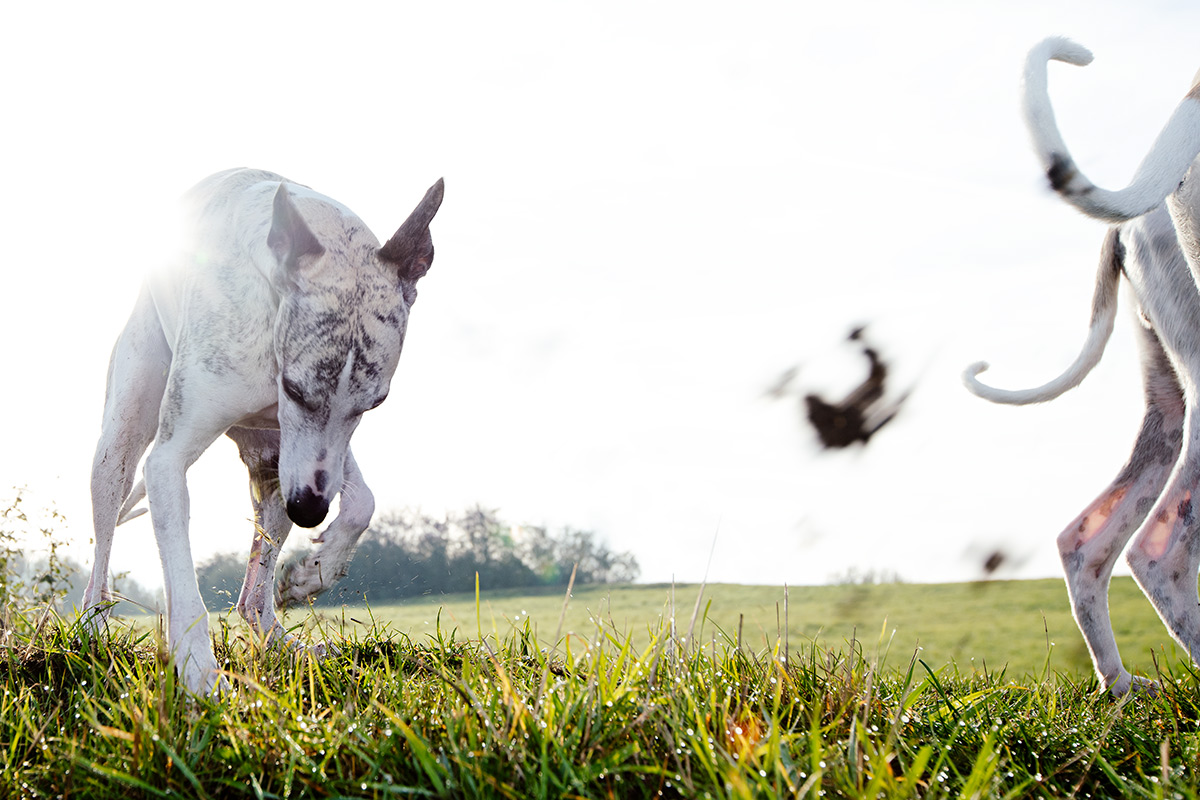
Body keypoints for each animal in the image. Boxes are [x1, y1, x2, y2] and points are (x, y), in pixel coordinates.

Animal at [84, 170, 444, 695]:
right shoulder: (170, 460)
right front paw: (200, 675)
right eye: (294, 388)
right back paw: (91, 630)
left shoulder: (313, 448)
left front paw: (313, 573)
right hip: (120, 443)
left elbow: (363, 502)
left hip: (273, 473)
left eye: (374, 404)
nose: (310, 511)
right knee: (103, 543)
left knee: (252, 597)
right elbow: (184, 584)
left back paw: (288, 641)